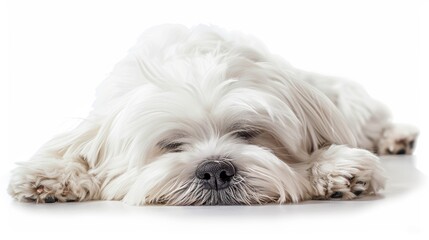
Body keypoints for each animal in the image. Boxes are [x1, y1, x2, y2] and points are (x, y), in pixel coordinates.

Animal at [7, 23, 418, 204]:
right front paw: (51, 176)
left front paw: (337, 168)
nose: (216, 170)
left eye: (248, 133)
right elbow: (71, 154)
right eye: (171, 145)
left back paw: (396, 137)